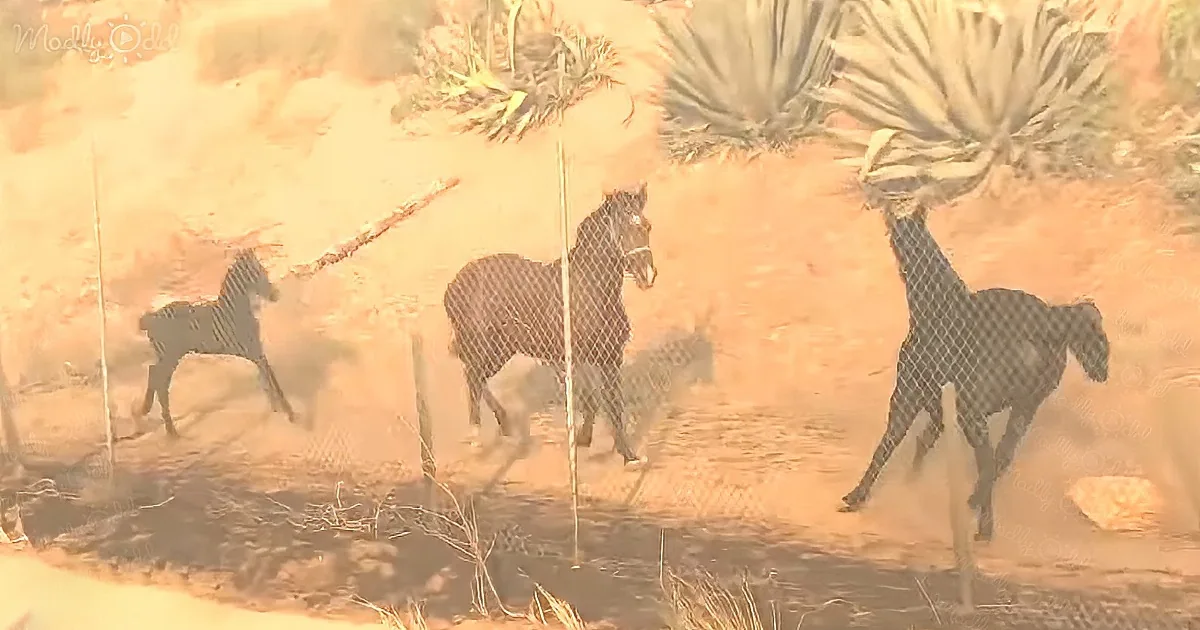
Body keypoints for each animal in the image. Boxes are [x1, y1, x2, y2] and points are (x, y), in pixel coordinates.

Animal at [133, 247, 296, 437]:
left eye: (262, 270)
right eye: (256, 272)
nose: (275, 295)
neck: (235, 310)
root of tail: (150, 318)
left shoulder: (256, 350)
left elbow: (268, 379)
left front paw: (278, 410)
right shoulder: (253, 350)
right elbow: (271, 380)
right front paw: (288, 413)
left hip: (167, 357)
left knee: (154, 374)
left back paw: (147, 414)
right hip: (170, 356)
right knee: (160, 382)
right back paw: (170, 430)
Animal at [443, 183, 657, 467]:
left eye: (647, 226)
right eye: (620, 230)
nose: (648, 275)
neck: (587, 290)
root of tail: (452, 287)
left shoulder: (610, 358)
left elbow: (612, 404)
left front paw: (624, 454)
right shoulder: (576, 360)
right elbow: (593, 402)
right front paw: (588, 442)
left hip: (500, 351)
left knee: (474, 376)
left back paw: (505, 424)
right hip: (484, 348)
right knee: (473, 379)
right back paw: (477, 439)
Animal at [839, 200, 1109, 541]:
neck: (933, 303)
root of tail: (1048, 323)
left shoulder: (908, 393)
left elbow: (888, 442)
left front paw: (855, 497)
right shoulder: (942, 408)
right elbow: (923, 442)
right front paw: (910, 484)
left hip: (973, 409)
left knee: (988, 460)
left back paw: (980, 520)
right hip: (1026, 406)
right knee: (1001, 458)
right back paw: (975, 511)